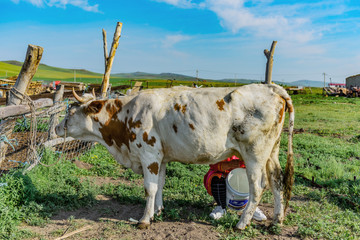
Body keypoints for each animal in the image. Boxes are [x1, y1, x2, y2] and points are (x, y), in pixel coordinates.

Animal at [54, 83, 294, 230]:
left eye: (71, 112)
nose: (57, 128)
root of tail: (270, 87)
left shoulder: (149, 154)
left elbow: (149, 188)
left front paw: (144, 219)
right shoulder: (161, 157)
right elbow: (160, 184)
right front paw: (157, 211)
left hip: (254, 153)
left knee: (258, 187)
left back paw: (242, 223)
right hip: (272, 151)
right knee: (277, 181)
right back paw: (277, 220)